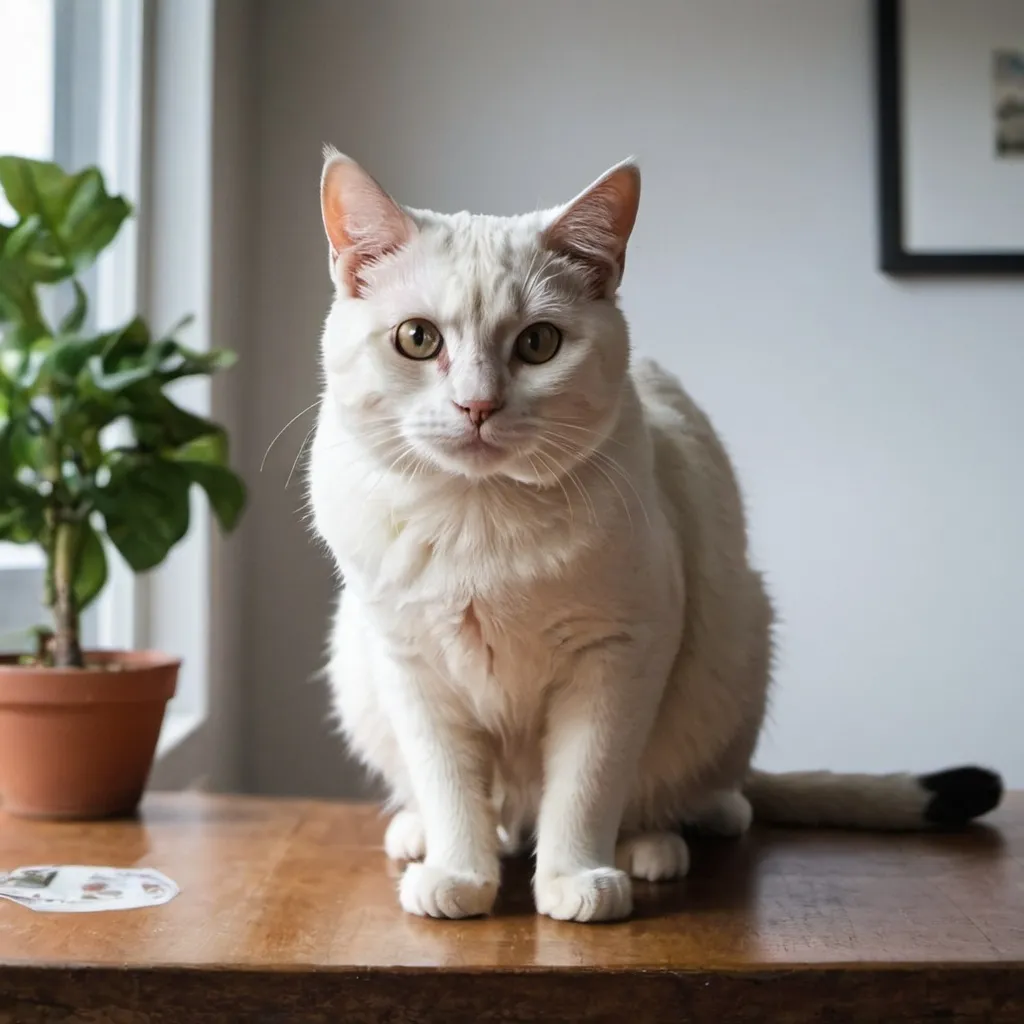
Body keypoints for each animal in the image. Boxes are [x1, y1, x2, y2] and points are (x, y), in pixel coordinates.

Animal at [309, 148, 999, 925]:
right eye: (417, 339)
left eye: (538, 343)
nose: (477, 405)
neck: (478, 519)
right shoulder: (411, 665)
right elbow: (449, 784)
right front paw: (459, 874)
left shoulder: (620, 654)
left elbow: (587, 782)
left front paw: (576, 879)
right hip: (357, 664)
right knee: (481, 806)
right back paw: (423, 834)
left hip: (737, 638)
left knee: (691, 794)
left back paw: (657, 844)